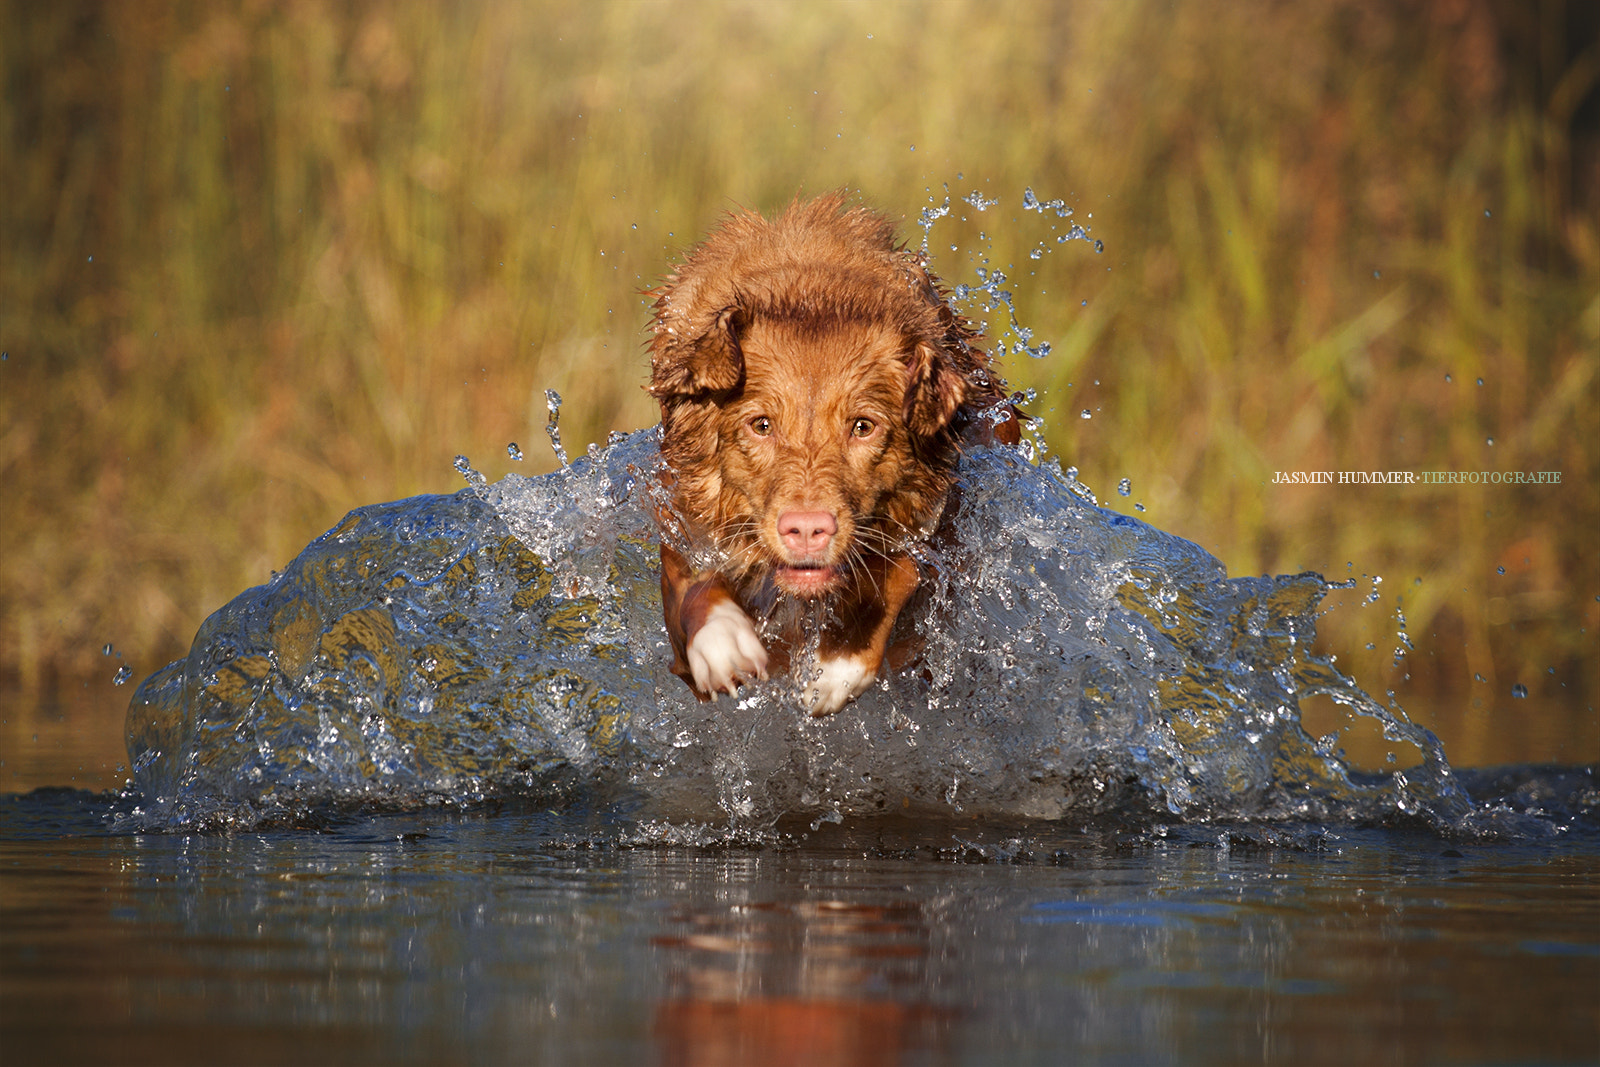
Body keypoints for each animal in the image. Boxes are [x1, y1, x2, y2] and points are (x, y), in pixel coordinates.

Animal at [646, 197, 1011, 723]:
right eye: (761, 425)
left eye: (863, 426)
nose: (806, 529)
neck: (813, 296)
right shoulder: (682, 513)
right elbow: (690, 586)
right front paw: (722, 641)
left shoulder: (942, 524)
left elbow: (900, 571)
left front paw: (839, 662)